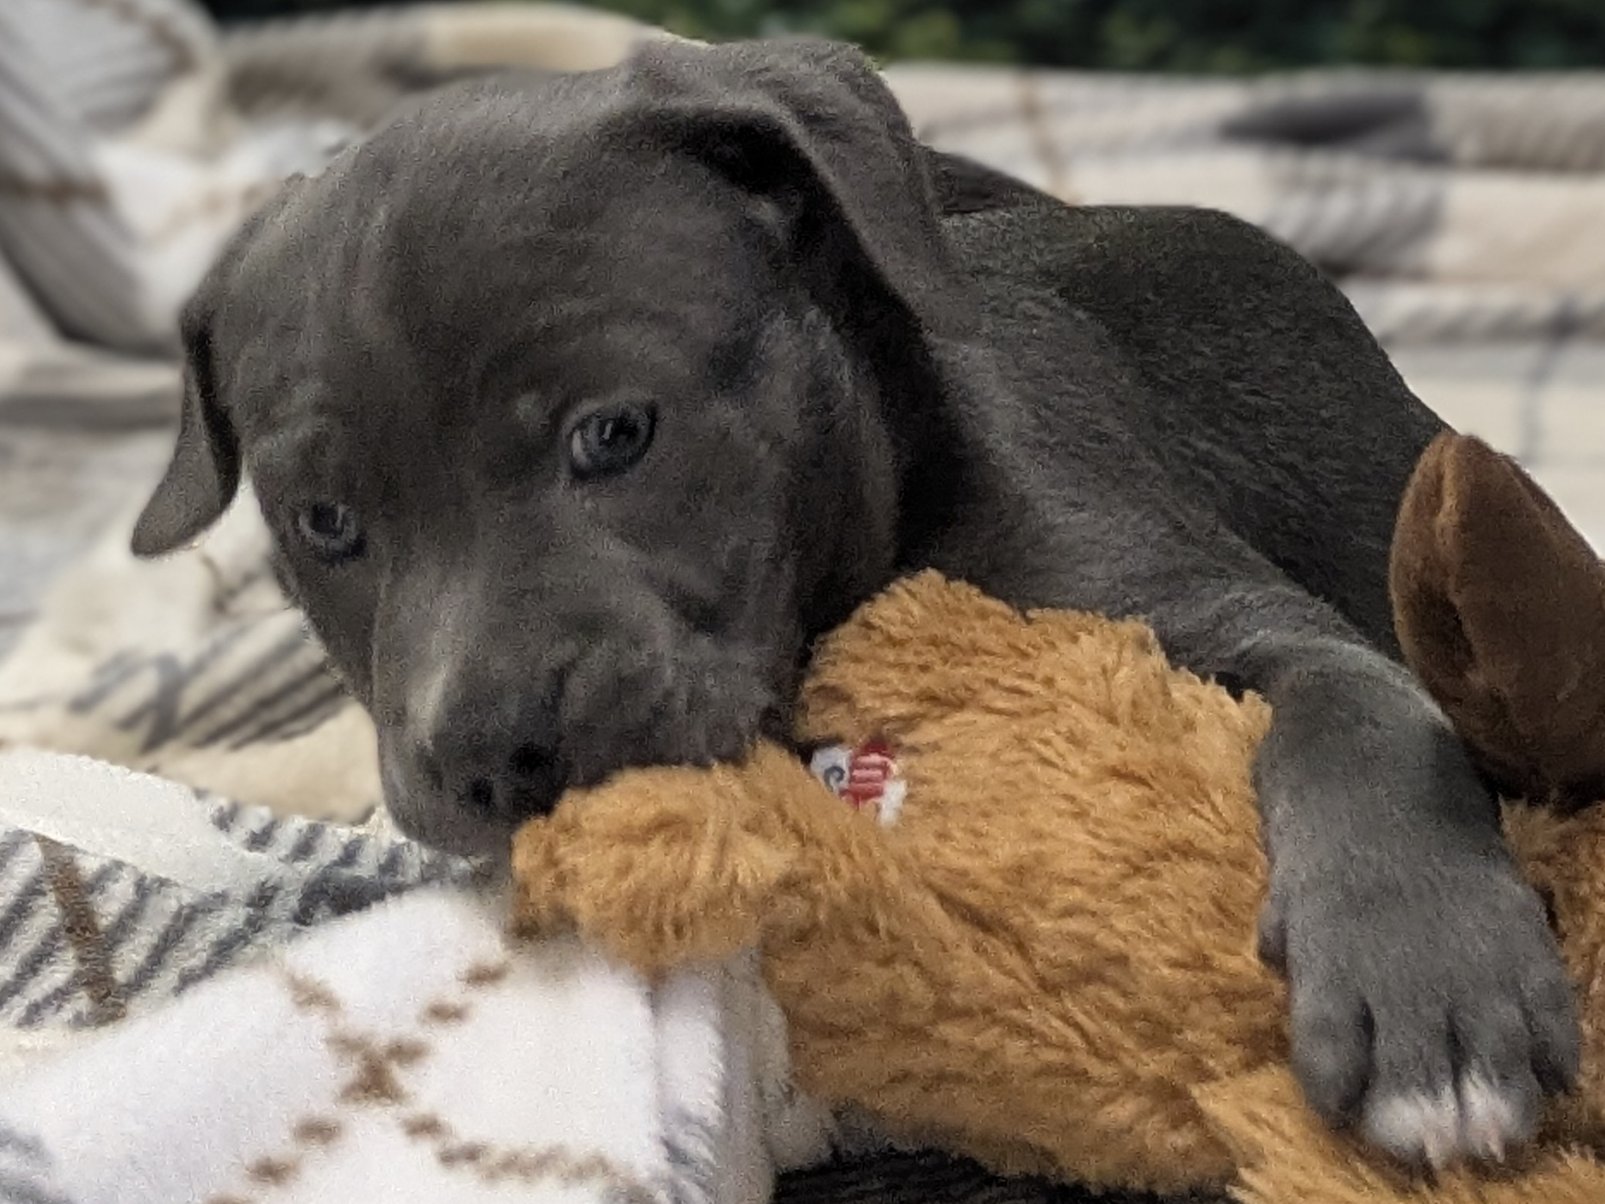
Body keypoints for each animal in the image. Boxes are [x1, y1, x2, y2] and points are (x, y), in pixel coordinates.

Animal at [129, 37, 1577, 1174]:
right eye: (324, 524)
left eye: (615, 432)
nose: (492, 758)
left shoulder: (1225, 612)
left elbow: (1363, 719)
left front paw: (1429, 990)